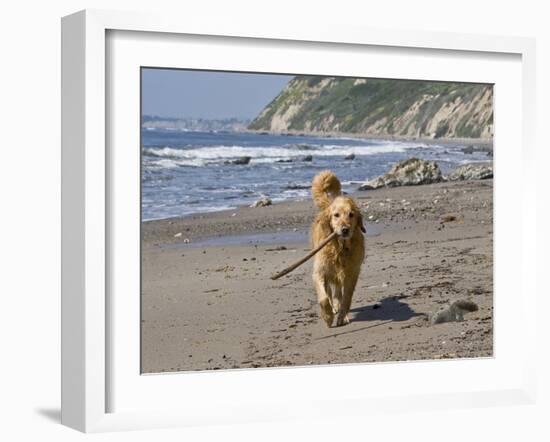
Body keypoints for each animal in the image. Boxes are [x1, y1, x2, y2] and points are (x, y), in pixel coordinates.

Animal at [310, 171, 366, 326]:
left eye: (351, 214)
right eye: (336, 215)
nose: (345, 229)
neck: (340, 248)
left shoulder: (352, 273)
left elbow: (346, 298)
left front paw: (342, 316)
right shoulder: (320, 272)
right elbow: (323, 298)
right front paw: (328, 316)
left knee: (338, 293)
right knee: (330, 292)